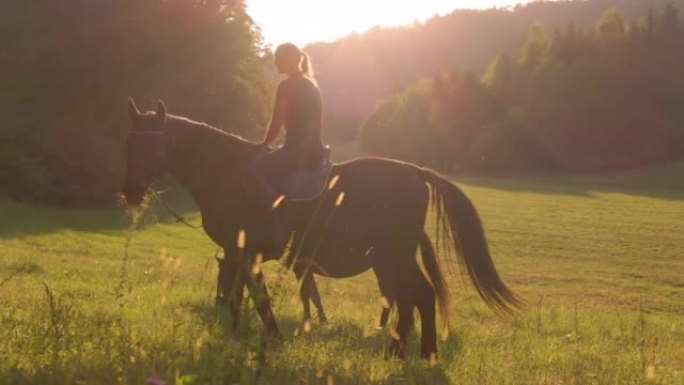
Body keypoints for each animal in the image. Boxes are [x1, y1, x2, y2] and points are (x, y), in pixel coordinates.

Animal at [121, 98, 524, 356]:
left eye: (151, 145)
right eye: (128, 143)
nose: (130, 191)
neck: (228, 172)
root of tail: (415, 172)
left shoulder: (245, 252)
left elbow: (258, 297)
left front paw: (271, 338)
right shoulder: (239, 255)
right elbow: (243, 295)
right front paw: (237, 334)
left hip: (394, 255)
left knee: (418, 295)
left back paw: (413, 353)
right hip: (391, 258)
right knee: (410, 298)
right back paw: (402, 350)